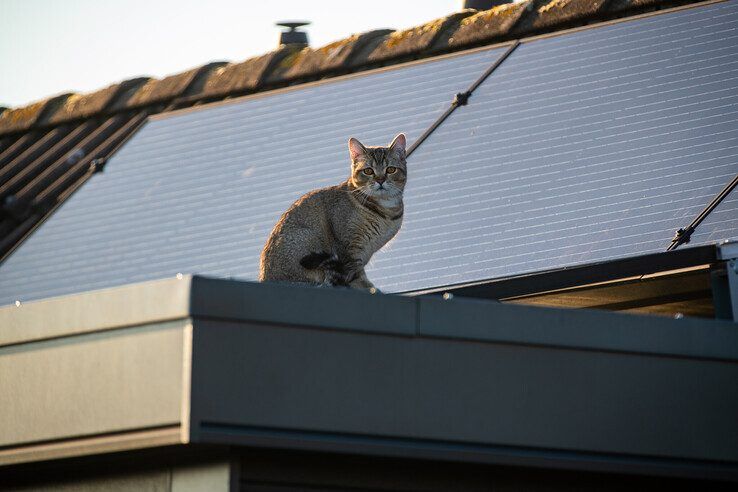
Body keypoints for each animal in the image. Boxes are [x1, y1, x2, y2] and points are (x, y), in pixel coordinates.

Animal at [258, 133, 408, 290]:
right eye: (368, 171)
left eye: (390, 169)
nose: (380, 180)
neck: (386, 211)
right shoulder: (348, 249)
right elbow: (356, 275)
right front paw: (369, 288)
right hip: (307, 237)